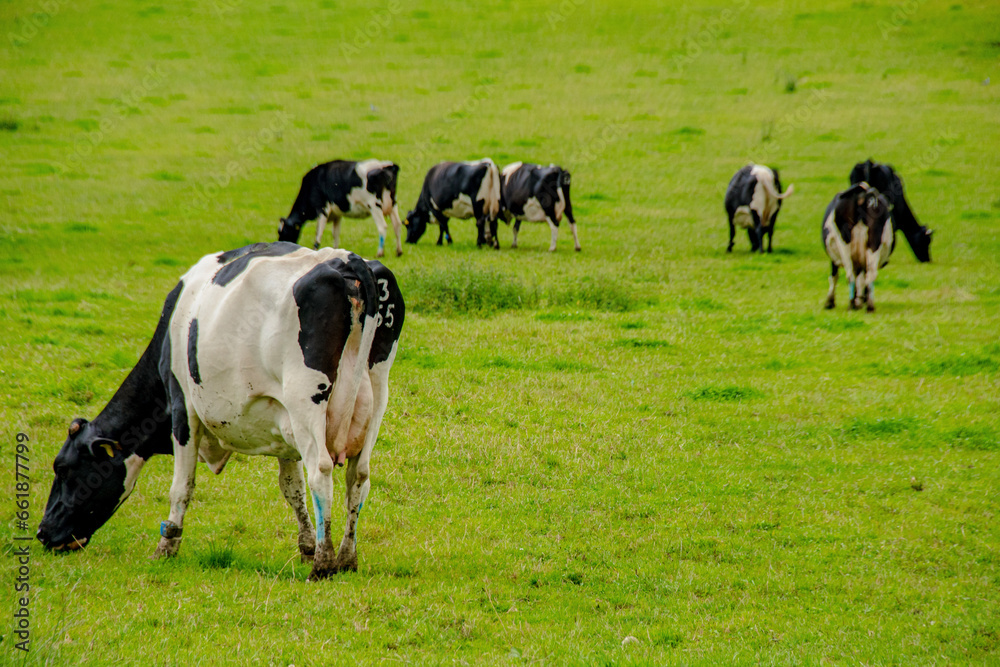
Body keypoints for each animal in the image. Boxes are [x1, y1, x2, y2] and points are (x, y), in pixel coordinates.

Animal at [38, 243, 406, 580]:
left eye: (64, 469)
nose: (43, 533)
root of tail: (347, 260)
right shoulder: (283, 421)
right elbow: (292, 488)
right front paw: (305, 545)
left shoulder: (182, 408)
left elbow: (182, 485)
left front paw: (166, 547)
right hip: (375, 397)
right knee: (358, 476)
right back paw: (346, 558)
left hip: (306, 398)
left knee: (321, 473)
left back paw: (324, 563)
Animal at [824, 183, 896, 314]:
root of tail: (863, 192)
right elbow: (861, 281)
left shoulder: (834, 258)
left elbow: (834, 276)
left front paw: (829, 302)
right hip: (873, 244)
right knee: (870, 275)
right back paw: (869, 306)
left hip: (844, 244)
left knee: (850, 276)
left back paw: (851, 305)